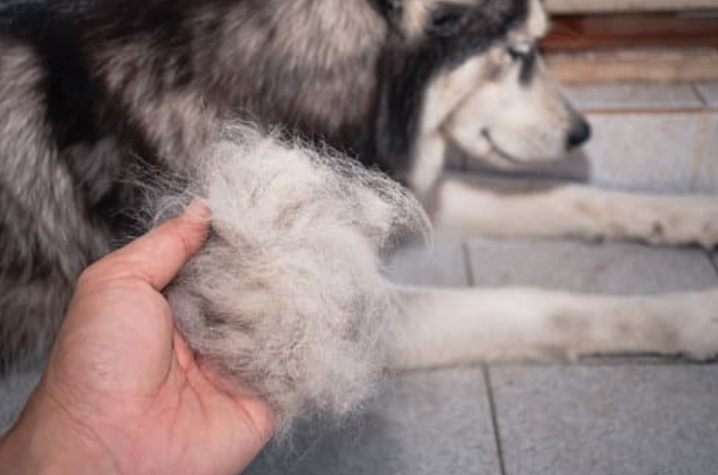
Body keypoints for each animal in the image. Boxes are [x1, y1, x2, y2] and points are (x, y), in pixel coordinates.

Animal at [1, 0, 718, 422]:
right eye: (516, 52)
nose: (582, 133)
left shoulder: (373, 182)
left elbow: (570, 197)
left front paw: (695, 217)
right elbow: (536, 306)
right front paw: (694, 315)